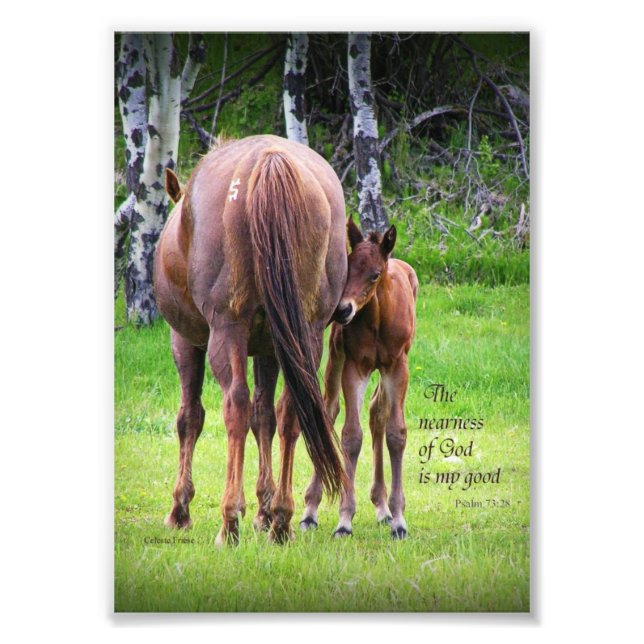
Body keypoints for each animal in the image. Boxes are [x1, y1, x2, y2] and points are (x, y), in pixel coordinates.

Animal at [153, 135, 349, 545]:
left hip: (226, 331)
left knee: (235, 405)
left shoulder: (184, 340)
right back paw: (282, 521)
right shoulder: (271, 348)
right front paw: (264, 509)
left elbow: (190, 417)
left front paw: (180, 509)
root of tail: (269, 162)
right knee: (290, 410)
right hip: (305, 335)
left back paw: (229, 521)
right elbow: (265, 417)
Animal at [299, 219, 418, 539]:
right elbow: (351, 436)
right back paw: (310, 512)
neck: (377, 317)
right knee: (328, 410)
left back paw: (383, 508)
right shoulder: (355, 367)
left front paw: (399, 519)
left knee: (378, 411)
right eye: (347, 269)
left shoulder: (397, 366)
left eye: (374, 274)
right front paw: (344, 521)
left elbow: (396, 433)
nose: (342, 310)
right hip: (335, 357)